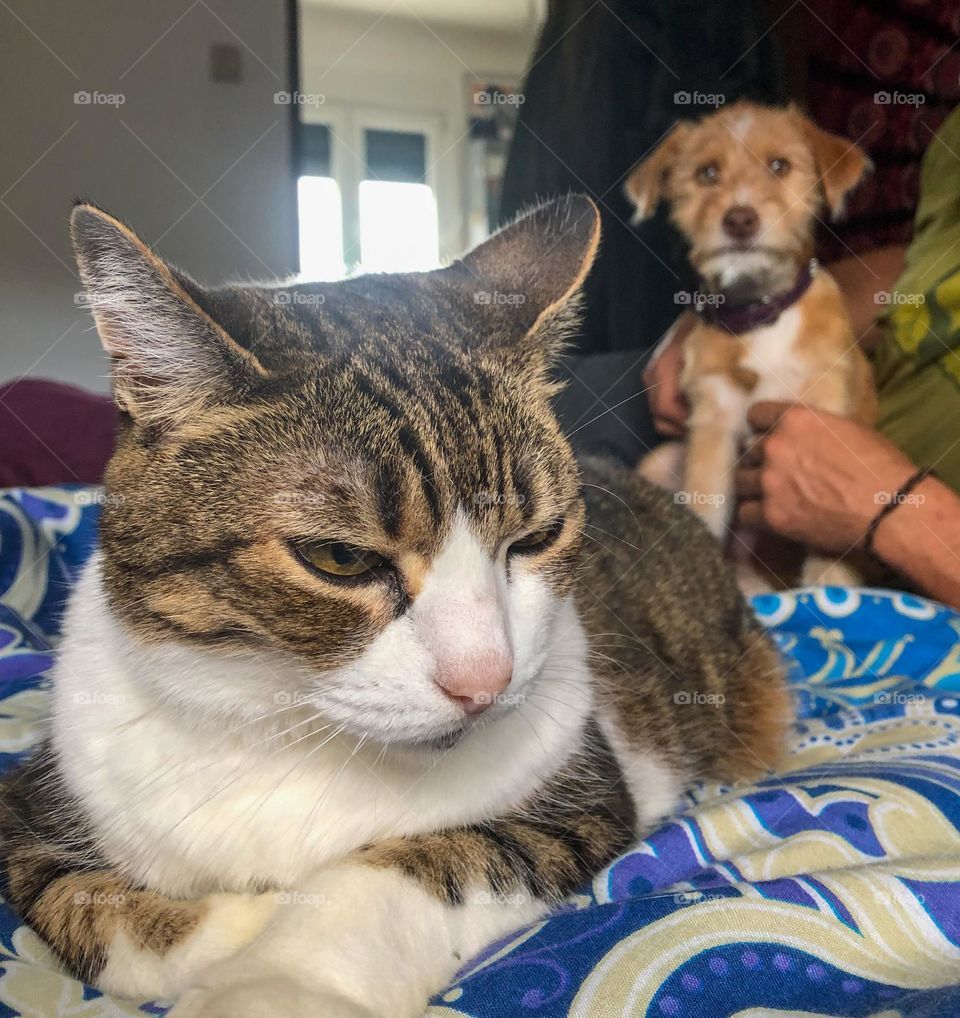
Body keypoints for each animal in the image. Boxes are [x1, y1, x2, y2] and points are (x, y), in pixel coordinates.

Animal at [0, 194, 794, 1013]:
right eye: (340, 558)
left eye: (537, 537)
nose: (485, 682)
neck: (294, 738)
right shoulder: (32, 815)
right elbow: (103, 914)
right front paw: (241, 923)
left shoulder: (576, 802)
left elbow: (405, 872)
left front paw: (270, 979)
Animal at [627, 102, 883, 590]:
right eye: (707, 173)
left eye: (779, 166)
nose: (740, 219)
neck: (759, 319)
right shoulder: (714, 426)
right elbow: (704, 512)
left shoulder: (822, 426)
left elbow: (830, 552)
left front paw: (831, 597)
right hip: (661, 461)